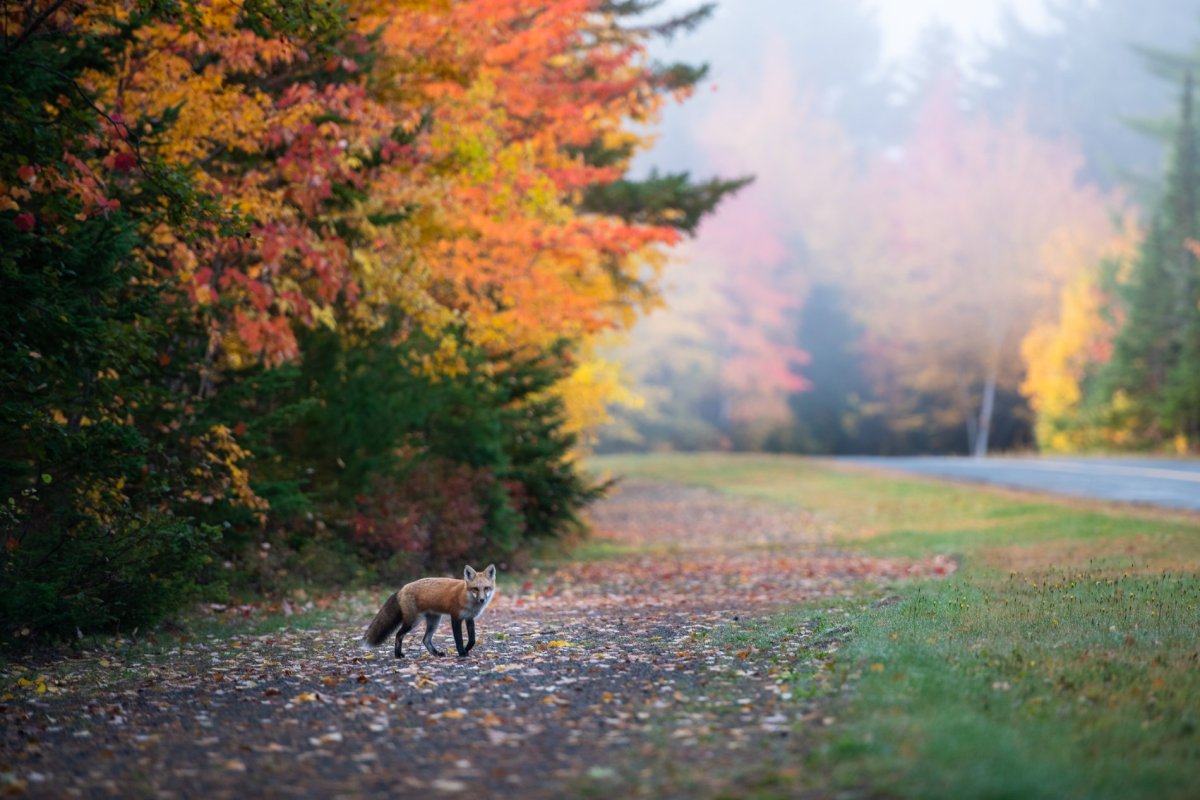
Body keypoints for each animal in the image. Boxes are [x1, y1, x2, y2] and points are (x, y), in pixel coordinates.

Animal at [364, 563, 496, 657]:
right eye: (475, 589)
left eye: (486, 588)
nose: (482, 600)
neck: (466, 598)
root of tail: (401, 589)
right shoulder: (455, 617)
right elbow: (458, 638)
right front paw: (462, 653)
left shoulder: (469, 618)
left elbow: (472, 639)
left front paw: (467, 649)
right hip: (413, 622)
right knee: (398, 635)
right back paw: (398, 655)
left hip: (434, 621)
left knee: (425, 640)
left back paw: (436, 654)